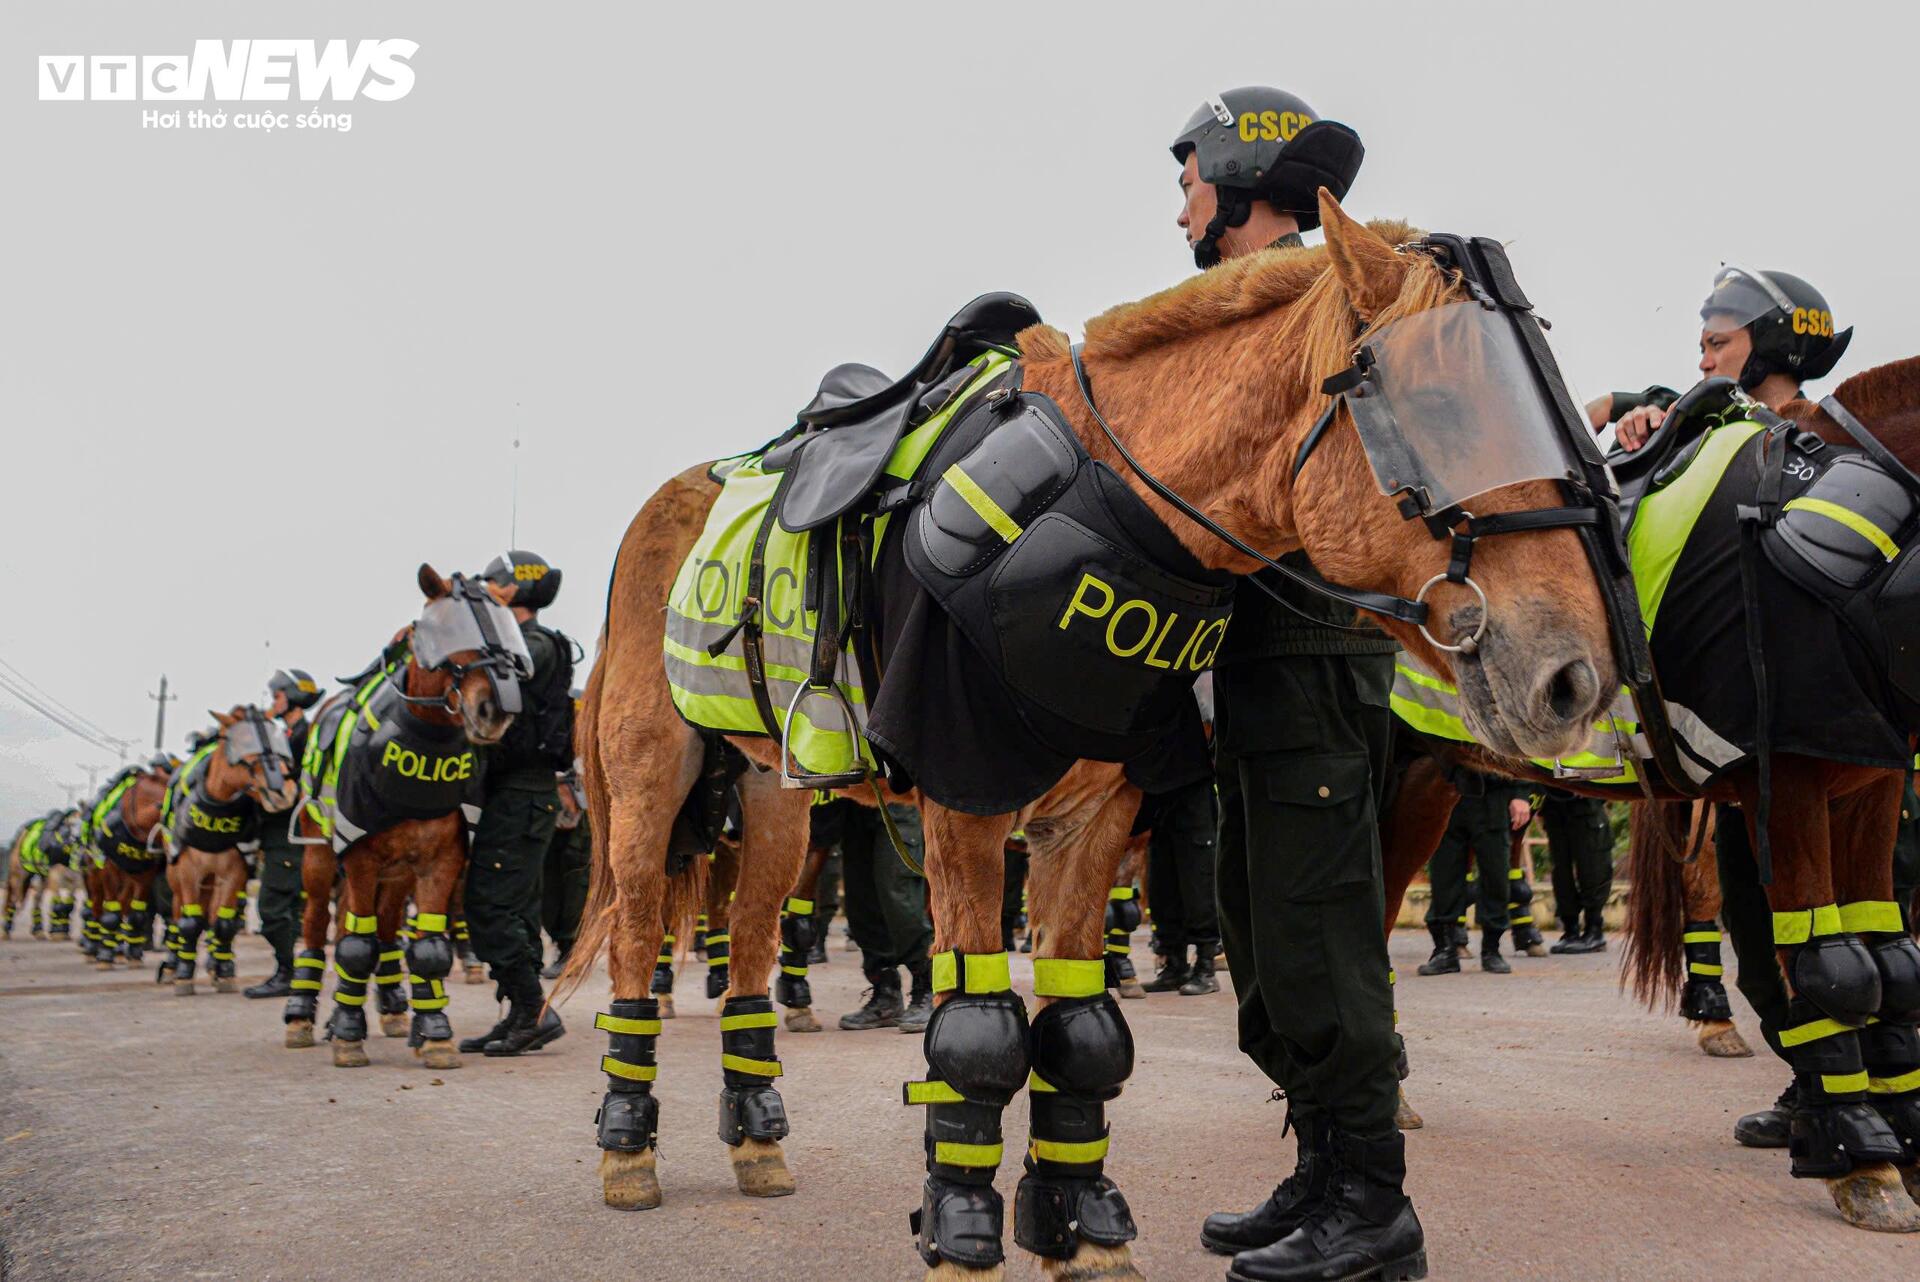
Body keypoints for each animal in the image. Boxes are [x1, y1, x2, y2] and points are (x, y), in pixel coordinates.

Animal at [284, 564, 518, 1067]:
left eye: (507, 635)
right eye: (447, 631)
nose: (492, 708)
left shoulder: (440, 860)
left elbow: (427, 947)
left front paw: (436, 1032)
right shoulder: (359, 856)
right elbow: (354, 946)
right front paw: (348, 1034)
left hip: (396, 876)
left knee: (384, 928)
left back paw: (387, 1007)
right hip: (321, 858)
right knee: (317, 925)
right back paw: (303, 1014)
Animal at [564, 192, 1620, 1282]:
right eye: (1442, 407)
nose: (1576, 673)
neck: (1101, 496)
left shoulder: (1095, 817)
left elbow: (1080, 1030)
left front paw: (1081, 1226)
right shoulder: (967, 807)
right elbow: (979, 1038)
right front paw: (962, 1228)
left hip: (774, 802)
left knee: (749, 952)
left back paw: (754, 1129)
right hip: (647, 797)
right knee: (636, 943)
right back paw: (629, 1143)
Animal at [1382, 351, 1920, 1228]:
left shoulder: (1867, 783)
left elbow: (1891, 961)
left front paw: (1894, 1135)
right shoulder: (1791, 785)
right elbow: (1836, 968)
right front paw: (1864, 1159)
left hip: (1430, 778)